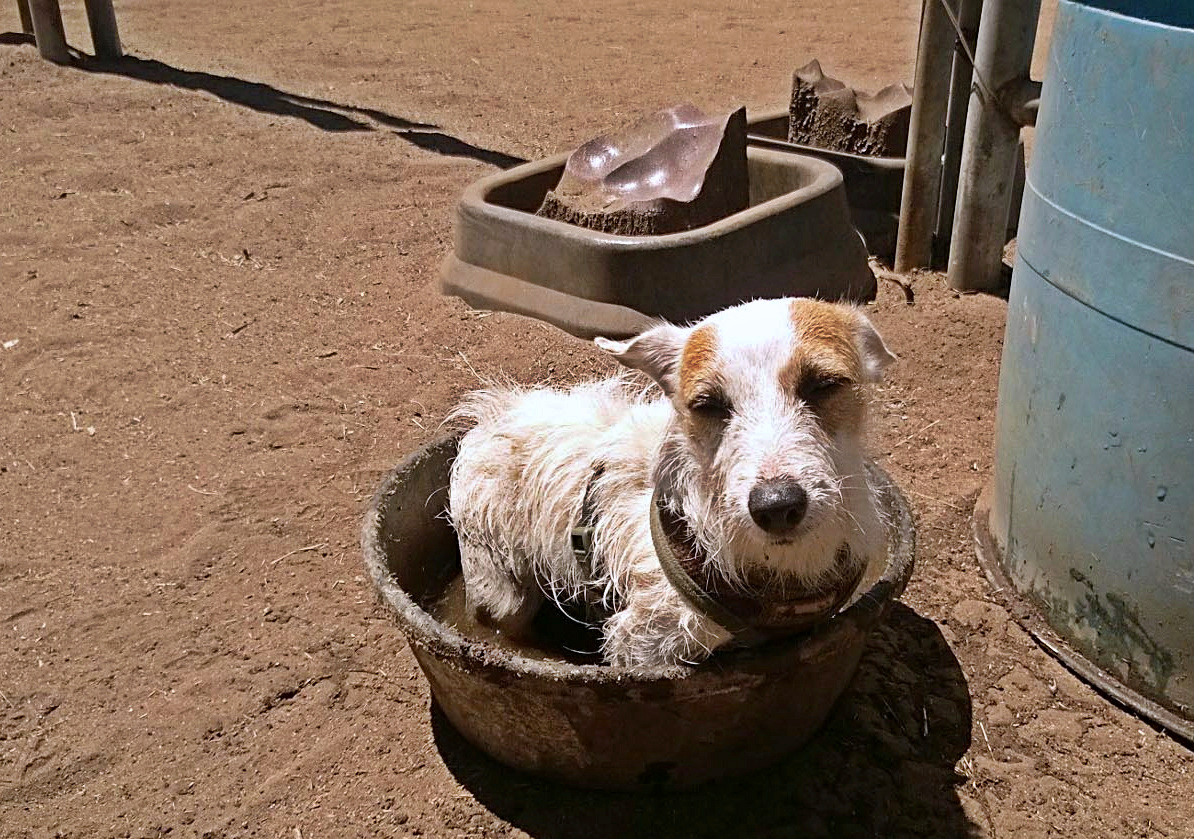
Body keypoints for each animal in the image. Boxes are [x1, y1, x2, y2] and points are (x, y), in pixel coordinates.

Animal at [448, 298, 897, 668]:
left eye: (824, 385)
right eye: (708, 404)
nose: (776, 506)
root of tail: (491, 416)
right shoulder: (642, 648)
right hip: (501, 592)